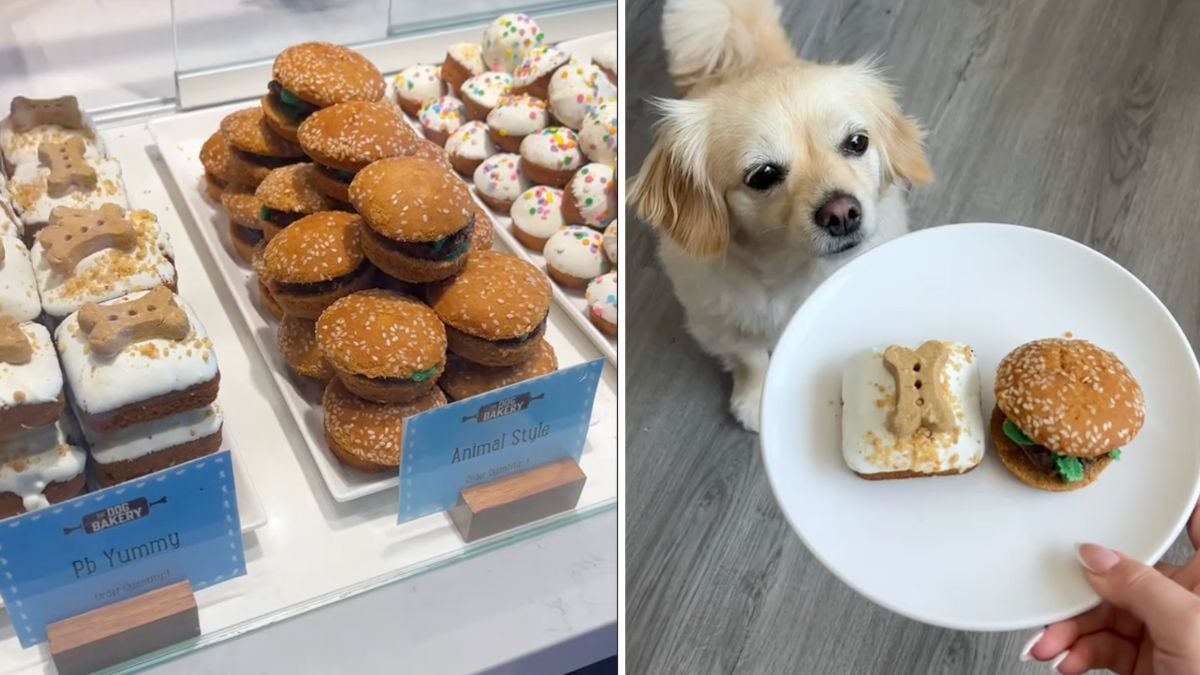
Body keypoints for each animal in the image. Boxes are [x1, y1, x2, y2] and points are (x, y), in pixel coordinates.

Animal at [633, 0, 931, 429]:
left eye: (857, 142)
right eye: (763, 175)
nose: (842, 213)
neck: (795, 269)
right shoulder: (719, 322)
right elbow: (751, 359)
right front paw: (754, 401)